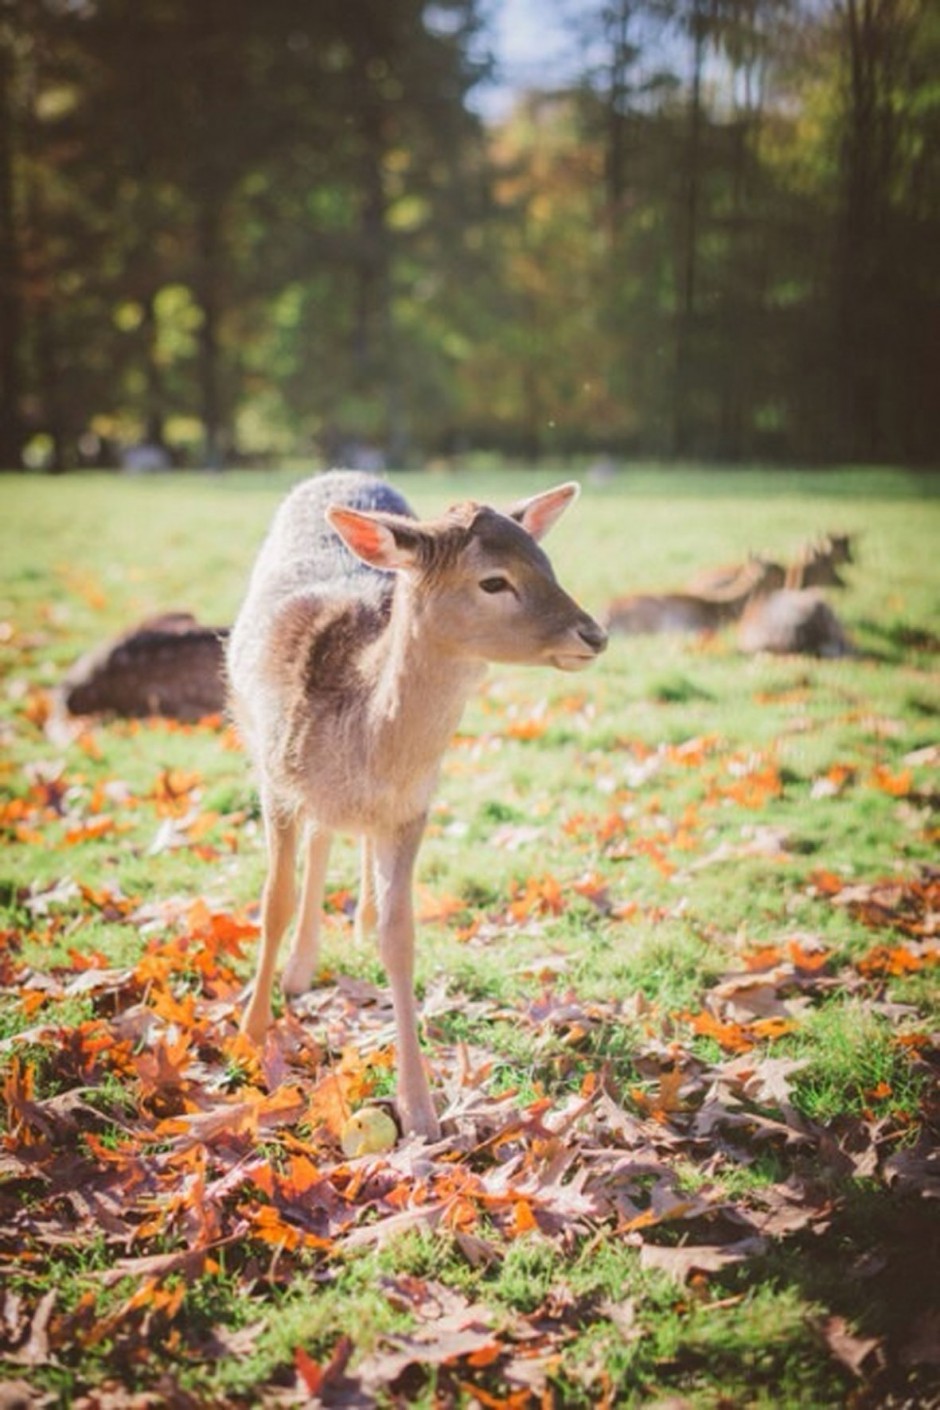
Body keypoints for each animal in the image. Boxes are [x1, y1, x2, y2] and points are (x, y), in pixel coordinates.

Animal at [228, 470, 611, 1133]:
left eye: (547, 562)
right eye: (493, 579)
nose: (594, 634)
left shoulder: (411, 811)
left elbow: (400, 937)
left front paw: (420, 1110)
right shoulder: (275, 784)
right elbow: (273, 902)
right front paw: (252, 1031)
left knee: (333, 835)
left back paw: (332, 941)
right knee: (318, 839)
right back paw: (297, 973)